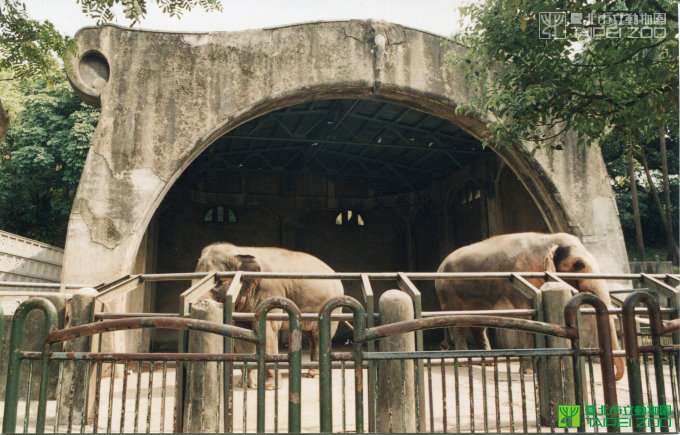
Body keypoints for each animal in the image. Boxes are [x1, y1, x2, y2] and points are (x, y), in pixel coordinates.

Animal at [195, 244, 346, 390]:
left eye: (218, 284)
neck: (240, 250)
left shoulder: (270, 291)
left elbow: (267, 329)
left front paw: (269, 387)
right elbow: (241, 333)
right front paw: (246, 385)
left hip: (331, 307)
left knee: (319, 335)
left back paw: (314, 374)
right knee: (312, 336)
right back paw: (312, 373)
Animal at [438, 232, 624, 382]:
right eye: (579, 265)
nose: (615, 376)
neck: (549, 239)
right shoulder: (522, 279)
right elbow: (527, 319)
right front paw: (528, 372)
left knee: (479, 323)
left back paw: (488, 363)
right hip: (449, 293)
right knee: (459, 323)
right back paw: (463, 363)